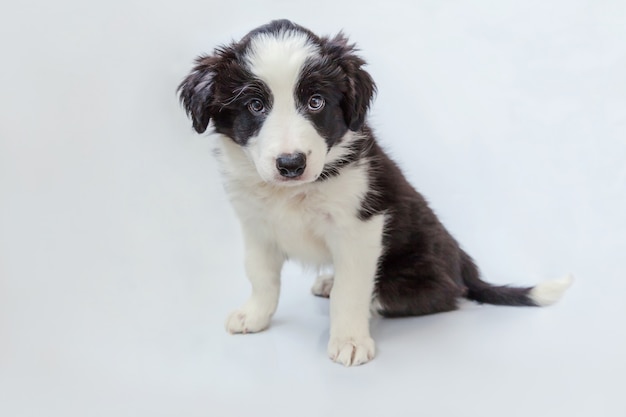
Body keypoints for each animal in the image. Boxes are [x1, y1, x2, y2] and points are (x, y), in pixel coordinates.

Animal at [177, 19, 572, 364]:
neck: (294, 192)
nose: (291, 164)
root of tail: (464, 266)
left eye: (316, 101)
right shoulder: (256, 225)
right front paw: (255, 315)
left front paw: (350, 340)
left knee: (423, 296)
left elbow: (349, 291)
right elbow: (261, 276)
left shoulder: (359, 228)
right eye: (255, 106)